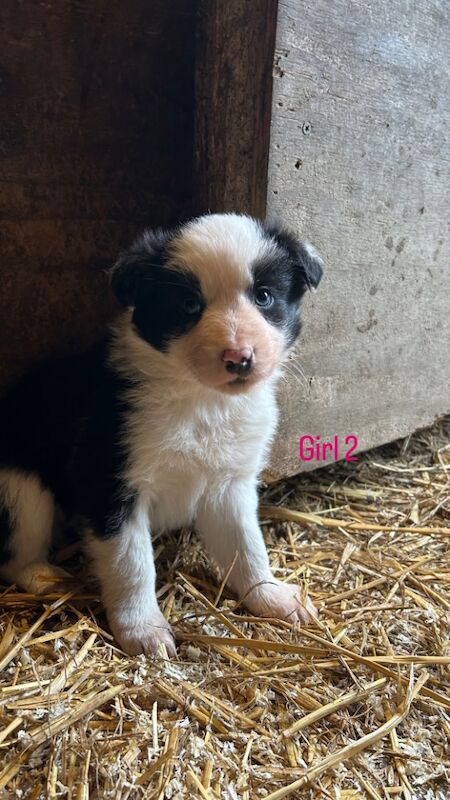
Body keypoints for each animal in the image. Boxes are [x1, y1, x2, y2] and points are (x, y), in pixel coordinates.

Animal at [0, 214, 324, 656]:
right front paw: (143, 631)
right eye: (189, 305)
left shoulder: (229, 485)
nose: (238, 358)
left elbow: (247, 546)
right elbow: (132, 564)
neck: (202, 400)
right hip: (22, 491)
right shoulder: (109, 480)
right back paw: (46, 578)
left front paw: (269, 596)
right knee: (17, 552)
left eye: (264, 296)